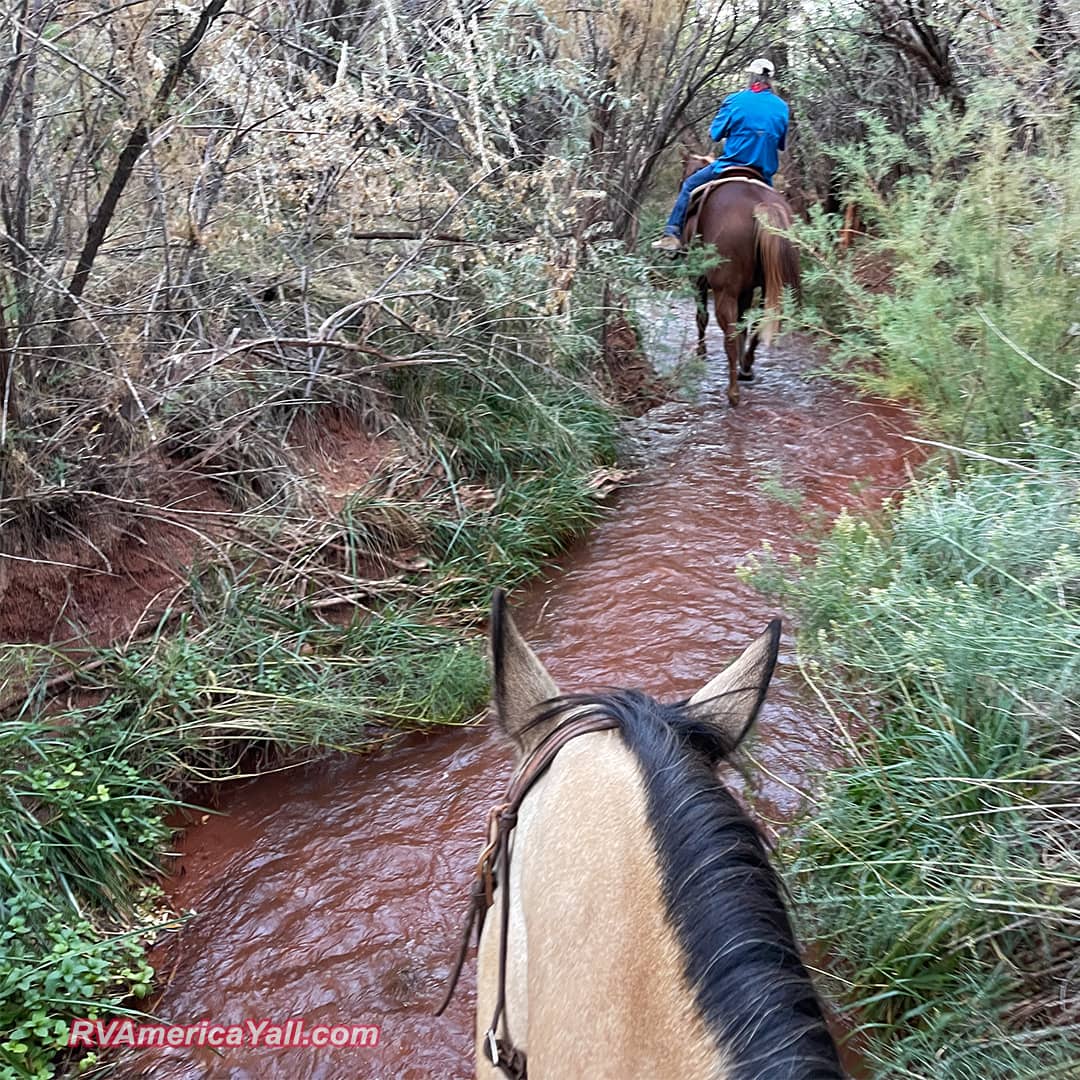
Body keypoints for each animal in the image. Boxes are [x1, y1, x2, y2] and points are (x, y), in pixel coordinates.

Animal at [682, 152, 803, 406]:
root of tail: (761, 205)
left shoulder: (697, 278)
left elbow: (702, 317)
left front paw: (701, 351)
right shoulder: (747, 289)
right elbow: (744, 323)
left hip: (724, 289)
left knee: (728, 333)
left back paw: (733, 393)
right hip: (769, 286)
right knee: (759, 322)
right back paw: (745, 367)